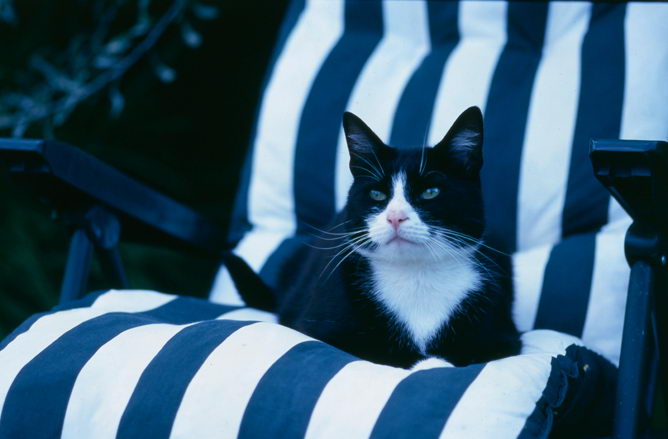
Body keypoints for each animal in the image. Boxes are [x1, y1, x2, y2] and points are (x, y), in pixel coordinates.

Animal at [224, 106, 521, 368]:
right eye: (377, 194)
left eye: (431, 192)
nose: (396, 217)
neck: (416, 274)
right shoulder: (321, 327)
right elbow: (378, 349)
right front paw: (428, 362)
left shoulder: (502, 335)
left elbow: (473, 350)